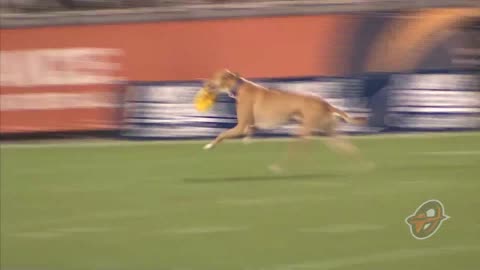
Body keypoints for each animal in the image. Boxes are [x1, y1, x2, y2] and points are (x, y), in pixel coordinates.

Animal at [201, 69, 370, 171]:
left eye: (215, 78)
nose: (206, 84)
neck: (239, 86)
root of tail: (325, 103)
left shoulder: (241, 126)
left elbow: (221, 134)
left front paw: (209, 145)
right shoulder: (251, 125)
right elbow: (249, 131)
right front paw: (248, 139)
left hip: (303, 133)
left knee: (299, 152)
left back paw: (281, 167)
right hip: (330, 134)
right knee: (349, 148)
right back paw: (363, 166)